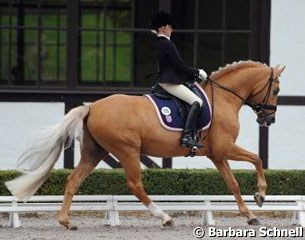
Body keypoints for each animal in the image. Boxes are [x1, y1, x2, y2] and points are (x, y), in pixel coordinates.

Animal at [5, 60, 284, 229]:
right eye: (276, 90)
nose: (268, 119)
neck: (224, 97)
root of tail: (93, 106)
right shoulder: (225, 149)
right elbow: (257, 158)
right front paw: (260, 195)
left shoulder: (217, 154)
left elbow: (233, 184)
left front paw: (250, 214)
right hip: (127, 151)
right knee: (135, 185)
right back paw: (165, 217)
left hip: (95, 152)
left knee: (73, 180)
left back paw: (66, 221)